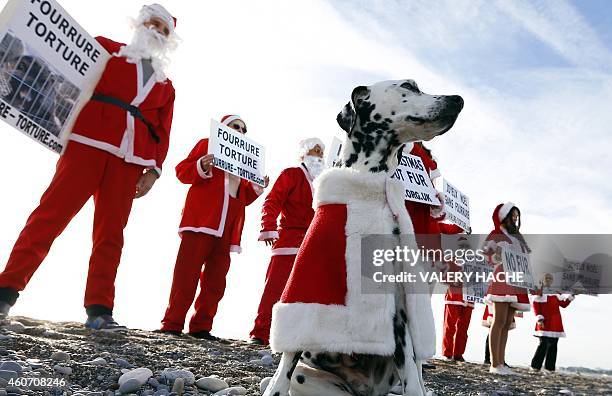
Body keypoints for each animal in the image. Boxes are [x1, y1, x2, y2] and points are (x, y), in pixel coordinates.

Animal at [262, 79, 464, 396]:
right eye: (409, 85)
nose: (457, 99)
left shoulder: (399, 315)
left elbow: (411, 372)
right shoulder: (305, 288)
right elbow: (285, 364)